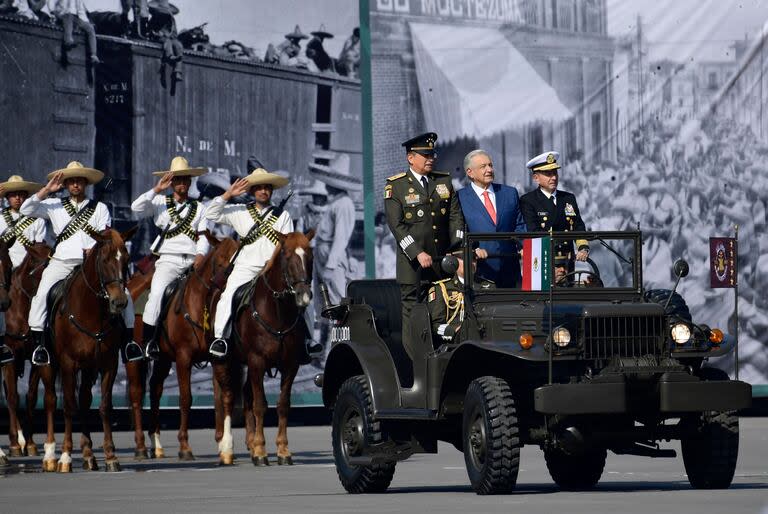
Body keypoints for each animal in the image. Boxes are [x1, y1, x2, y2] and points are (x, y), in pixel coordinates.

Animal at [39, 226, 136, 470]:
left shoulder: (108, 364)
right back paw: (50, 454)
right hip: (49, 366)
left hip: (89, 368)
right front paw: (65, 456)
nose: (119, 302)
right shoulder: (67, 364)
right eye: (104, 260)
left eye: (126, 259)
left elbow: (104, 407)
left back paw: (88, 453)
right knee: (51, 400)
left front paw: (110, 455)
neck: (93, 313)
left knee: (83, 400)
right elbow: (68, 406)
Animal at [134, 234, 238, 458]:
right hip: (135, 361)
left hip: (163, 359)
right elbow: (185, 398)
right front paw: (184, 445)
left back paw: (156, 443)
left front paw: (222, 443)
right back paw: (140, 447)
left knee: (155, 388)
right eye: (219, 262)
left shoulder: (216, 358)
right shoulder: (183, 358)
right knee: (137, 394)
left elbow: (219, 398)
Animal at [212, 229, 314, 464]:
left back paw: (249, 443)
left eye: (310, 255)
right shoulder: (257, 360)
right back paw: (227, 449)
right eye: (287, 256)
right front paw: (260, 451)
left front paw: (282, 450)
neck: (278, 311)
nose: (303, 296)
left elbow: (283, 405)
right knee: (227, 398)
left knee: (246, 396)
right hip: (223, 362)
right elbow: (260, 405)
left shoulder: (290, 364)